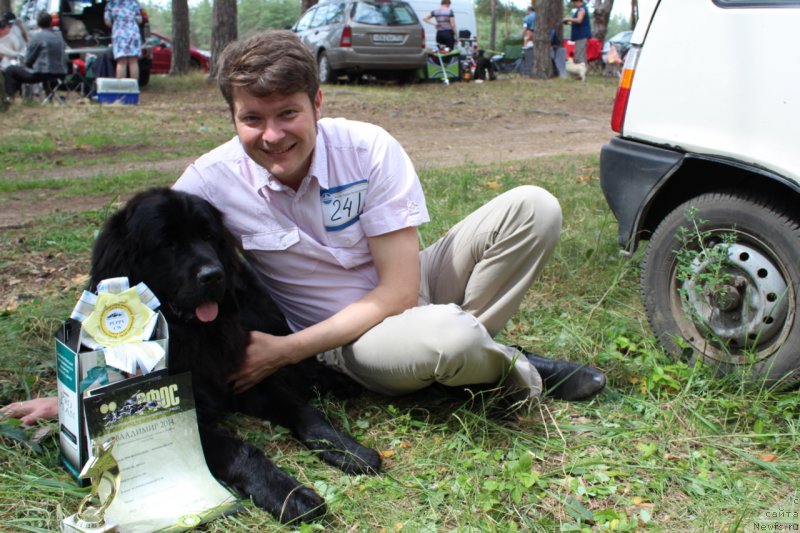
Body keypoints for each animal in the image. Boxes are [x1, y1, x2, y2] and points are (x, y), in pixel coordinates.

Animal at [89, 186, 382, 520]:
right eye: (167, 243)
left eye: (208, 235)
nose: (213, 275)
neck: (196, 337)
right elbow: (242, 450)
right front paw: (291, 495)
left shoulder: (246, 378)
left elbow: (303, 411)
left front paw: (347, 449)